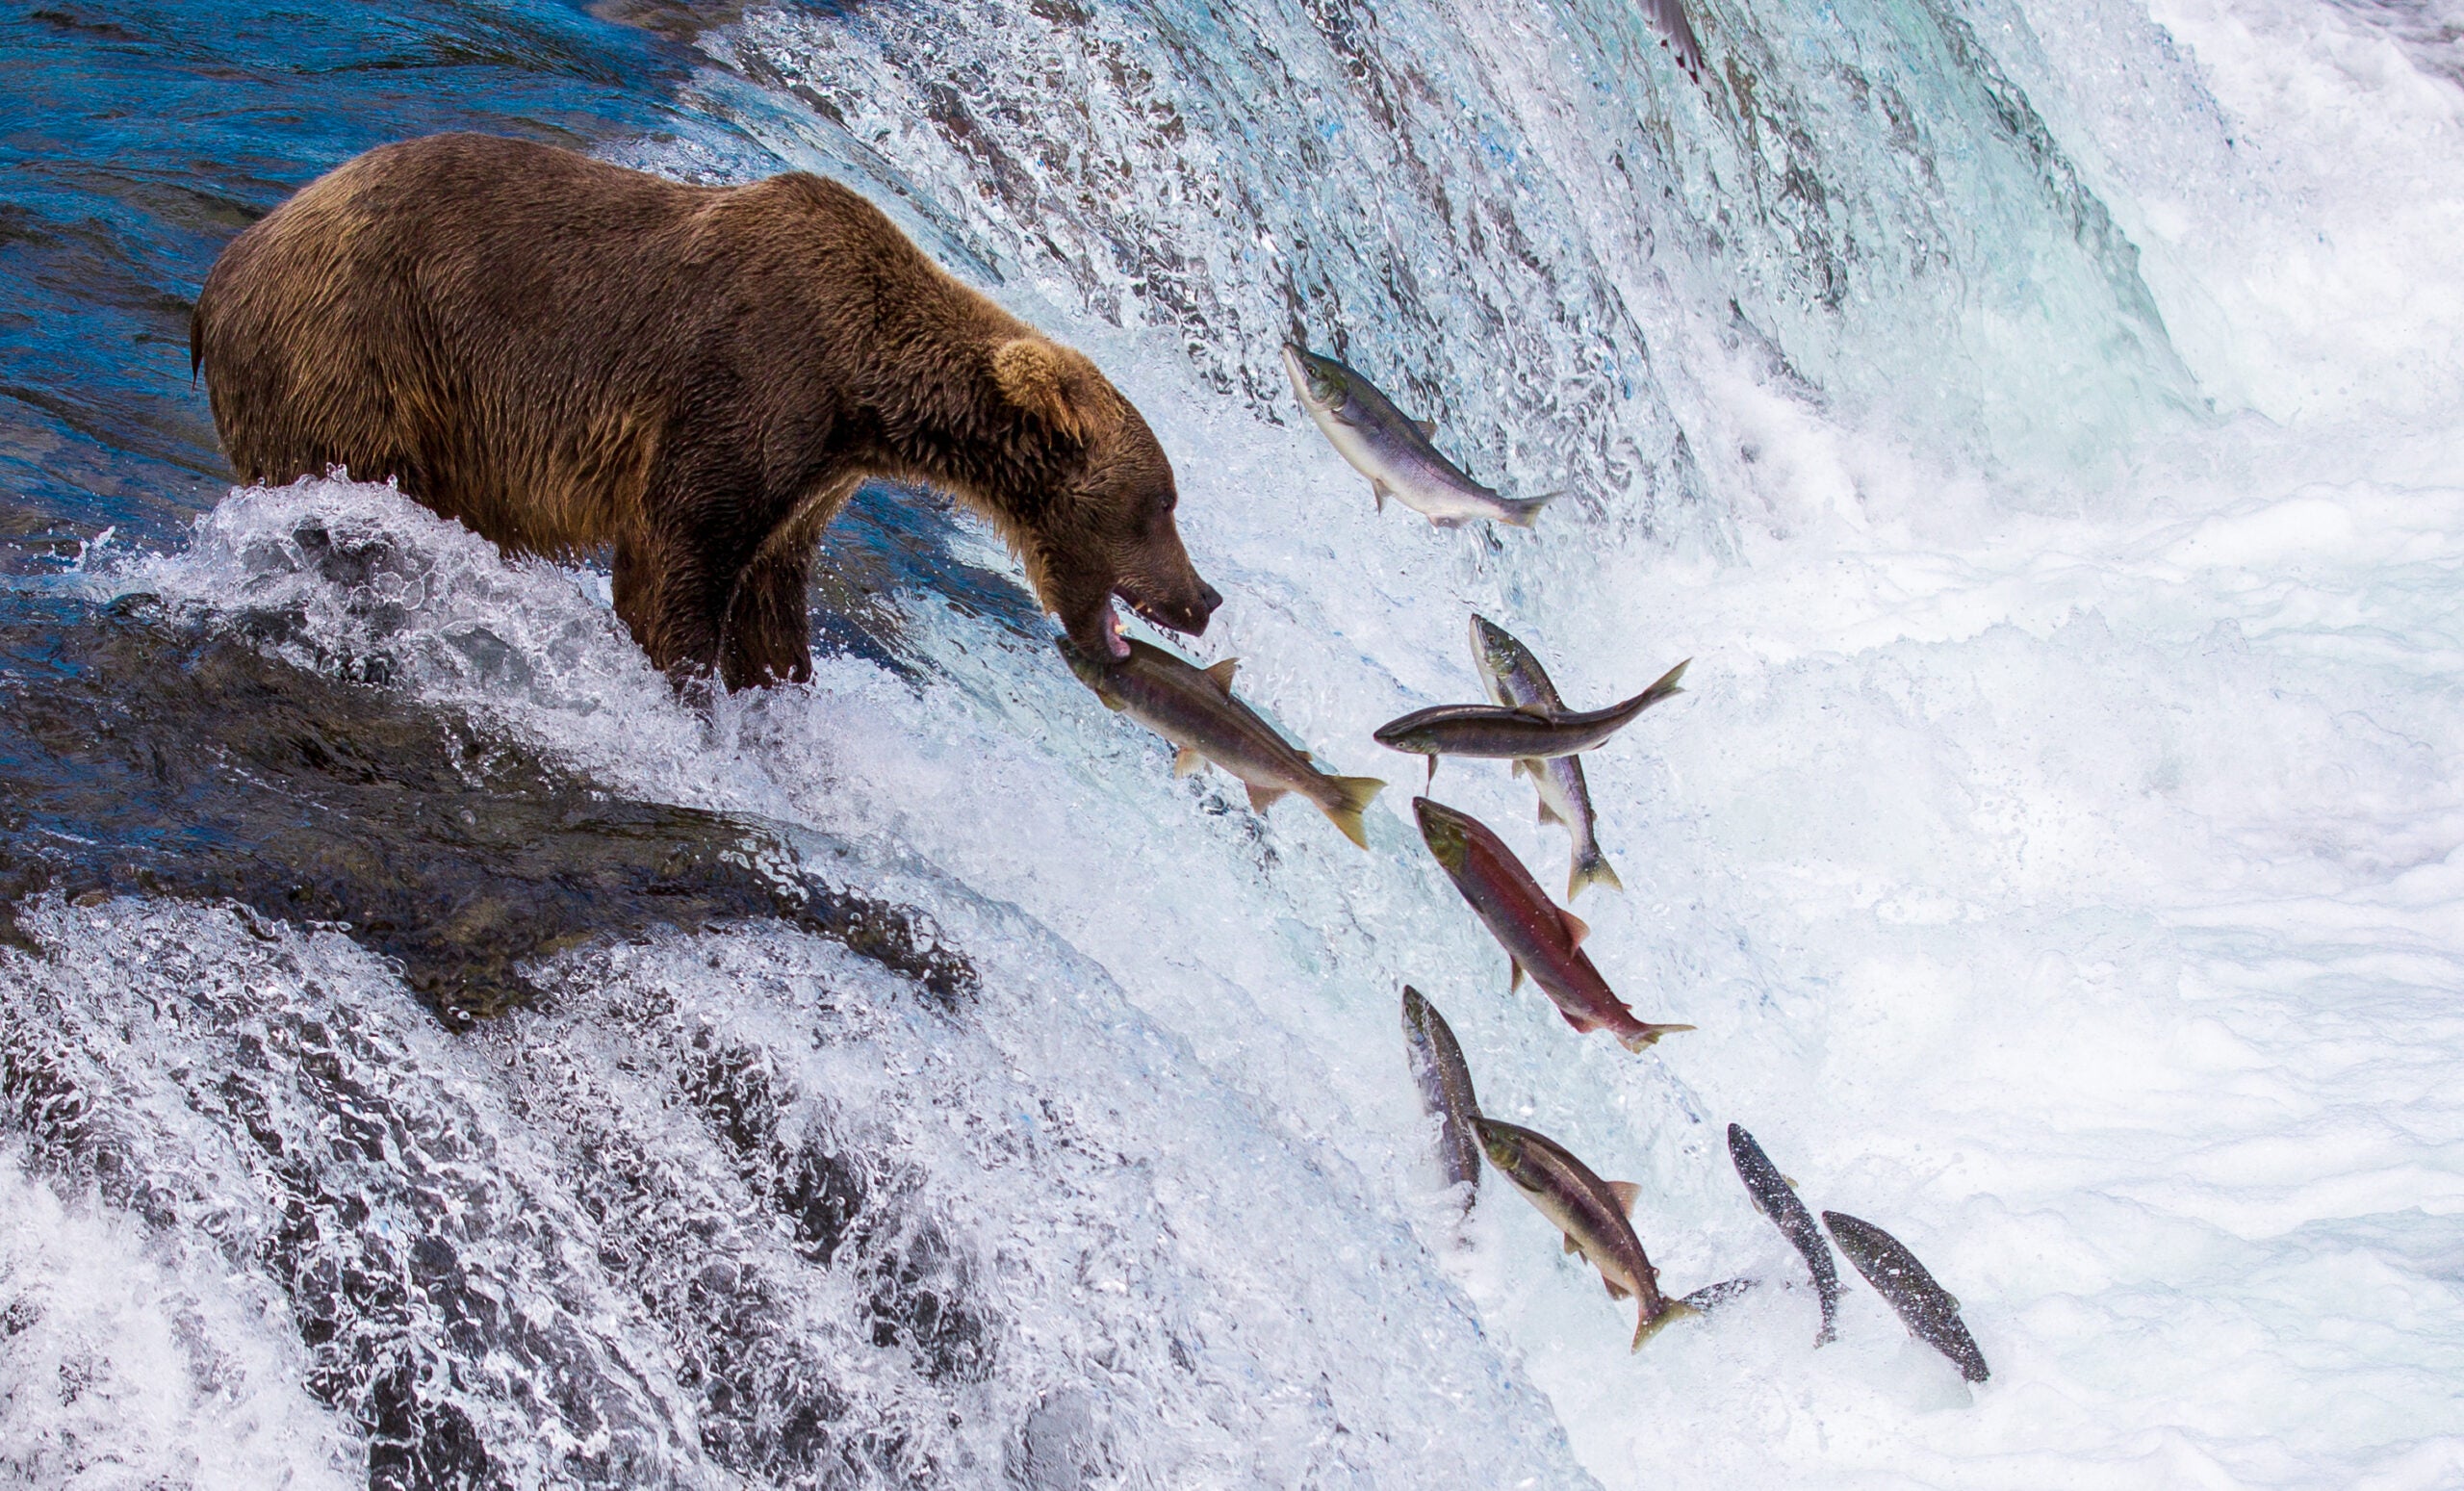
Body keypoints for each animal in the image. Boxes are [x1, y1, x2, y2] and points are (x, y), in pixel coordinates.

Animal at [192, 132, 1221, 684]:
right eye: (1162, 502)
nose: (1204, 598)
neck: (864, 392)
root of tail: (224, 271)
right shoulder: (750, 381)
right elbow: (674, 562)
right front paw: (689, 700)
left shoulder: (811, 478)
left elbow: (769, 602)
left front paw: (778, 699)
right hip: (357, 354)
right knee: (352, 514)